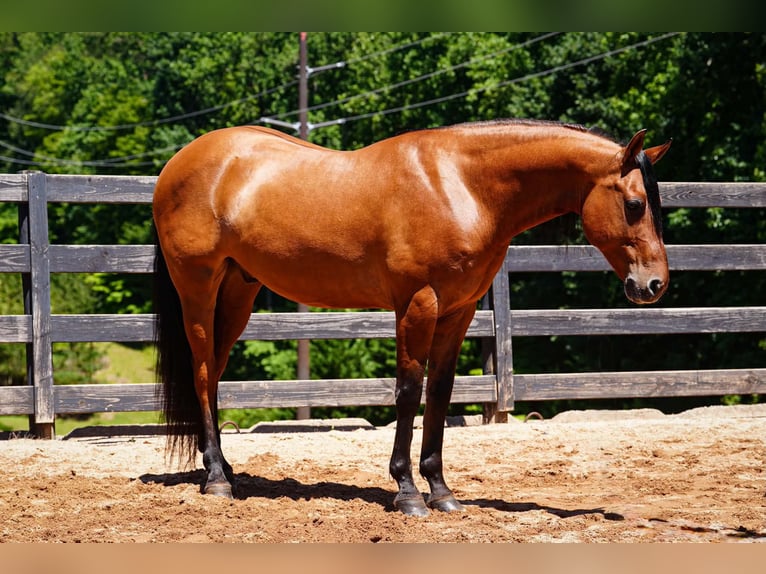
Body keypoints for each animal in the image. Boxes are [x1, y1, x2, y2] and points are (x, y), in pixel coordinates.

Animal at [152, 119, 671, 516]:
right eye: (634, 204)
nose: (653, 285)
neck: (461, 185)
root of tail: (179, 163)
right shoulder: (417, 304)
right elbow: (407, 391)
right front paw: (407, 493)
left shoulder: (459, 311)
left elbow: (439, 393)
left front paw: (441, 491)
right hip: (198, 288)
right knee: (203, 372)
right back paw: (217, 480)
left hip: (238, 290)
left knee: (215, 374)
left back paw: (223, 467)